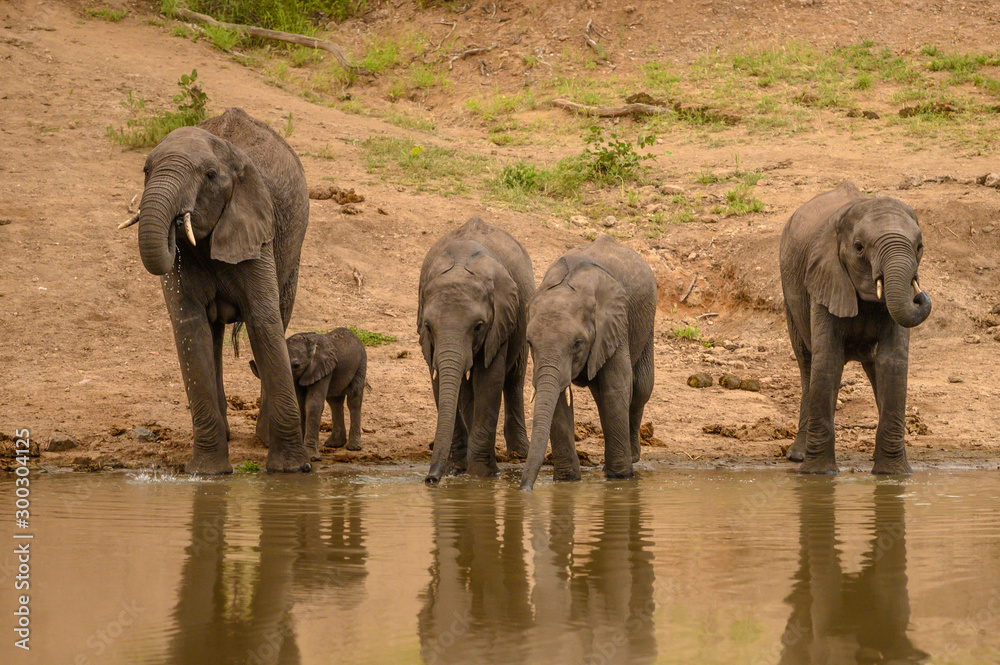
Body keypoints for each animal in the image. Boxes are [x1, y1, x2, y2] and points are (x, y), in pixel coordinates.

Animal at [120, 107, 311, 473]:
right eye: (146, 171)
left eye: (209, 175)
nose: (177, 222)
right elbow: (190, 329)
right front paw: (207, 473)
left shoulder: (257, 230)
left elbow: (264, 324)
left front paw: (292, 471)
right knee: (215, 333)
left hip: (291, 251)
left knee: (280, 315)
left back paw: (263, 438)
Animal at [250, 328, 367, 461]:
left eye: (296, 365)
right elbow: (300, 403)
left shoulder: (322, 368)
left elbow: (313, 404)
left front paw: (312, 457)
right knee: (335, 402)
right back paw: (334, 444)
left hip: (361, 363)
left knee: (353, 400)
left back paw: (354, 447)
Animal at [418, 217, 535, 484]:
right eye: (428, 327)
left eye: (479, 326)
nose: (430, 480)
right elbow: (440, 381)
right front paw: (456, 470)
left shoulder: (499, 322)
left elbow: (489, 380)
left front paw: (483, 475)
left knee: (514, 379)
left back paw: (520, 454)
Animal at [520, 235, 657, 491]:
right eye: (529, 343)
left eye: (577, 344)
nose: (523, 490)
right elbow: (558, 398)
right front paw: (567, 480)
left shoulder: (614, 325)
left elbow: (616, 388)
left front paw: (620, 477)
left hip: (647, 318)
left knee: (640, 388)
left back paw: (631, 458)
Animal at [780, 182, 932, 474]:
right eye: (859, 247)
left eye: (919, 247)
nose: (920, 295)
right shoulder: (824, 278)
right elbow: (827, 361)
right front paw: (819, 475)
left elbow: (892, 362)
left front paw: (893, 475)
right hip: (790, 294)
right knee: (807, 364)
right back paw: (798, 456)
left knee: (874, 366)